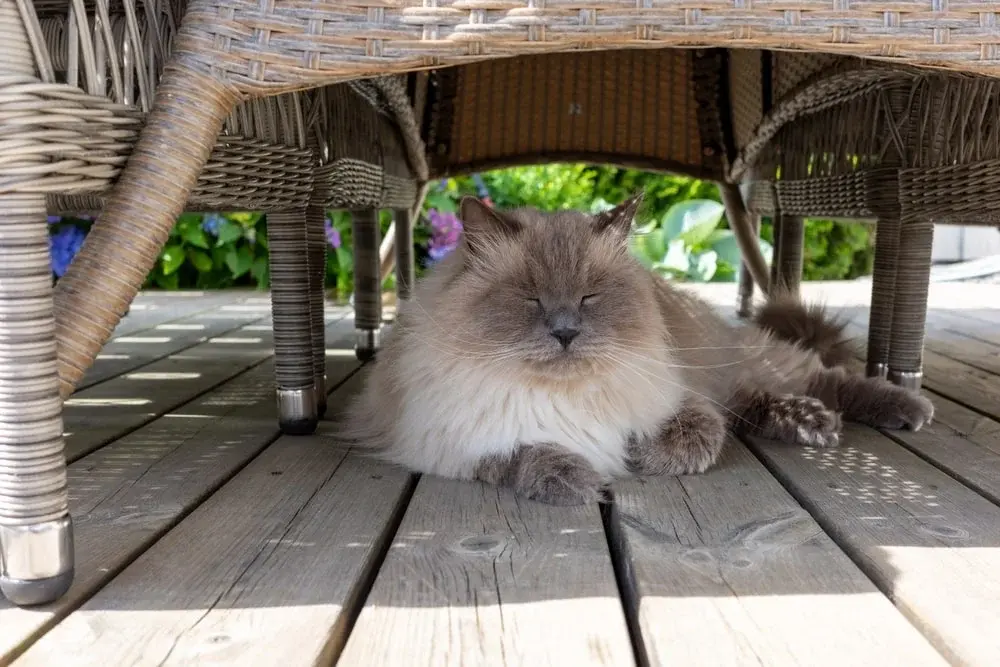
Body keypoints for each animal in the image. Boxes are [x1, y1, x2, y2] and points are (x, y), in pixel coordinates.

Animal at [342, 196, 928, 504]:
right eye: (531, 298)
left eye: (589, 297)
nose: (565, 332)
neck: (563, 396)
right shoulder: (450, 441)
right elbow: (528, 456)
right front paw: (587, 481)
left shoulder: (681, 397)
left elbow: (685, 439)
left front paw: (634, 457)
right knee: (753, 403)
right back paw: (811, 423)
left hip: (744, 361)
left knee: (823, 379)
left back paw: (894, 411)